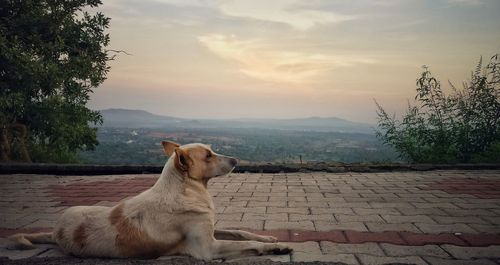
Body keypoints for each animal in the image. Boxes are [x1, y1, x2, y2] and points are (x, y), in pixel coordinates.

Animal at [7, 141, 292, 258]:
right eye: (209, 155)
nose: (236, 160)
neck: (186, 189)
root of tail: (55, 231)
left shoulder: (211, 228)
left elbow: (240, 231)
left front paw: (269, 238)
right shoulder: (208, 248)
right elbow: (243, 244)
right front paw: (276, 248)